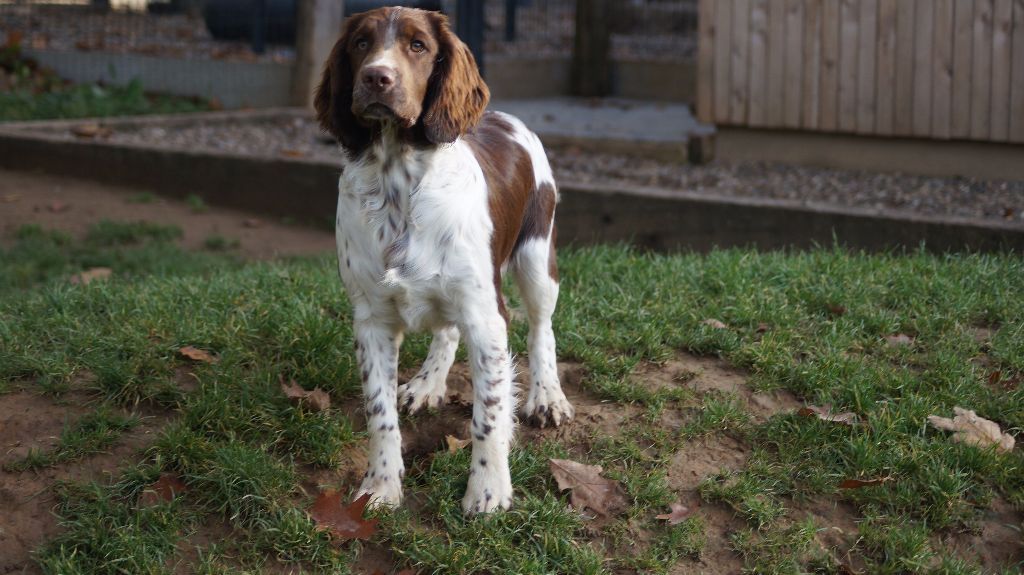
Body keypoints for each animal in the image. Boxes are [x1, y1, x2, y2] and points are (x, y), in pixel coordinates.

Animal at [315, 6, 573, 511]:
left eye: (418, 45)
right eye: (360, 43)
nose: (377, 77)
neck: (398, 183)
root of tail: (505, 117)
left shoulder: (486, 315)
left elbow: (488, 413)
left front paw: (488, 490)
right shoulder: (371, 319)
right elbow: (379, 411)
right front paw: (381, 485)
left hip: (537, 255)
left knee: (541, 328)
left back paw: (547, 396)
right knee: (448, 331)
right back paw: (428, 383)